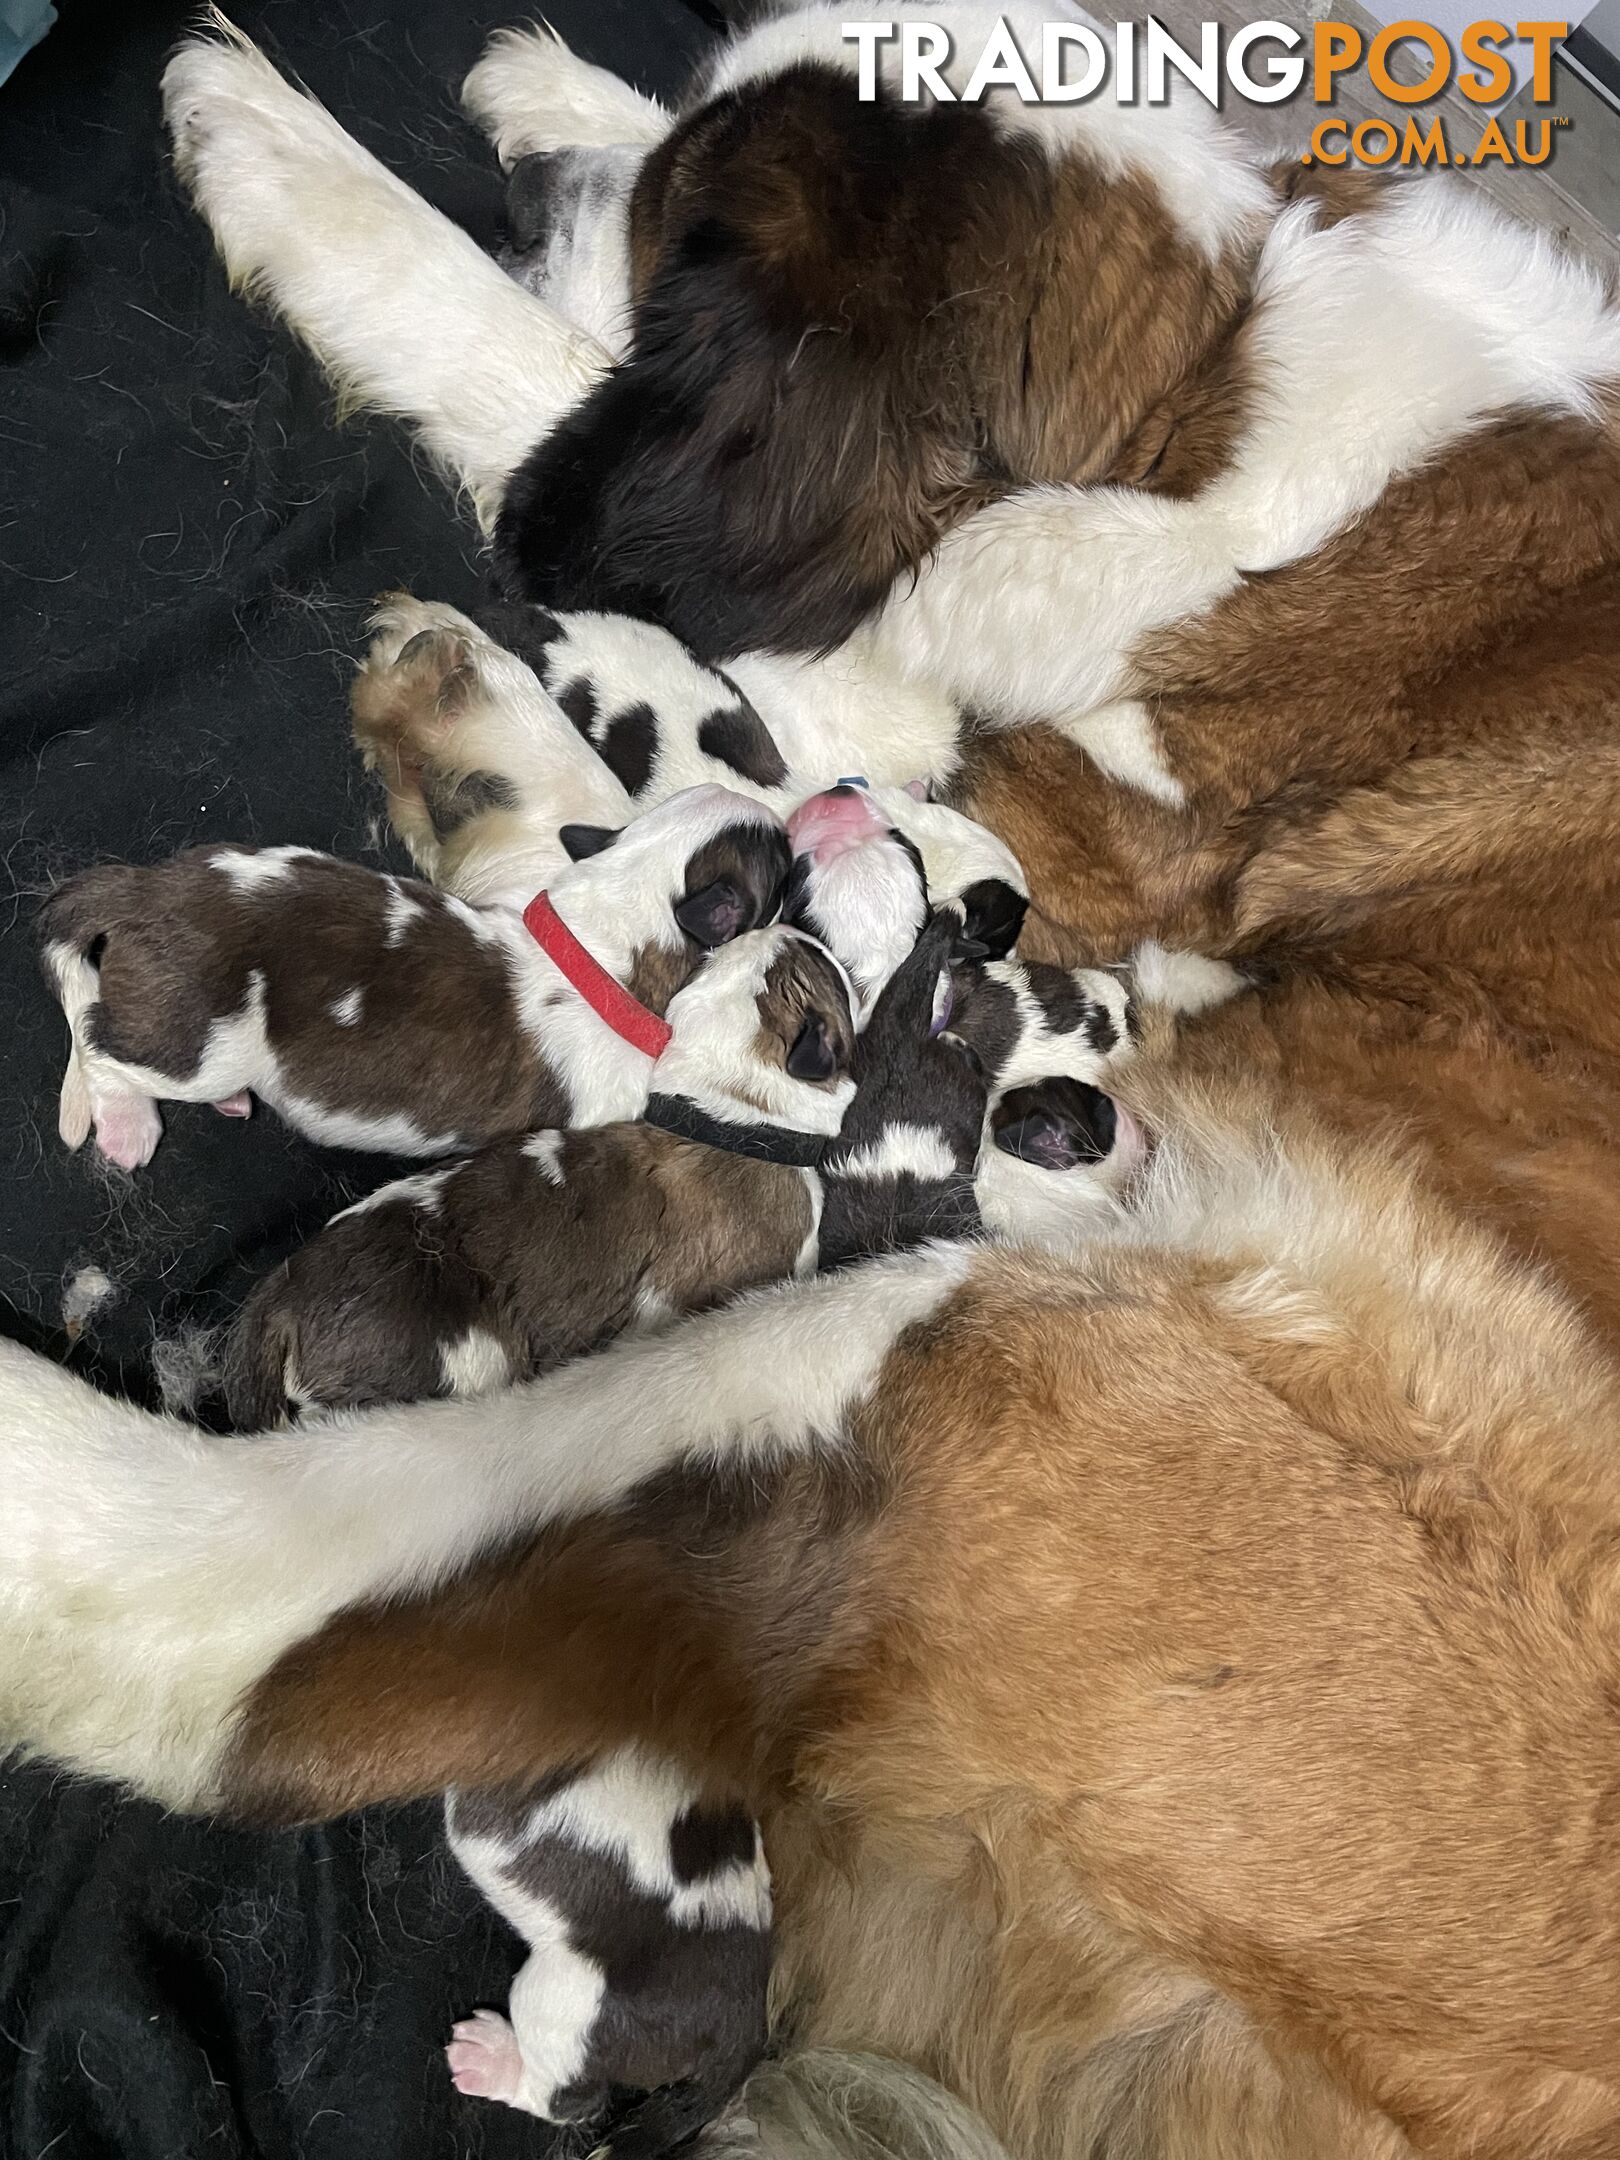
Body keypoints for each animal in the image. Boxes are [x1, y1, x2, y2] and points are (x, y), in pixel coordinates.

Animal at [41, 786, 790, 1175]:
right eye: (781, 863)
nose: (786, 826)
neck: (594, 935)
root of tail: (146, 889)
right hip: (198, 1044)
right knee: (105, 1046)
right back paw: (128, 1126)